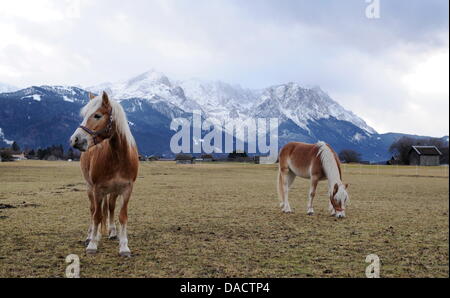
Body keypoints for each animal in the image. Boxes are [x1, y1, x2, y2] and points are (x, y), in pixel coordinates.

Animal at [68, 91, 138, 256]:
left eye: (97, 115)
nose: (75, 139)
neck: (118, 157)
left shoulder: (127, 189)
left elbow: (122, 216)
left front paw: (124, 246)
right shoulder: (97, 190)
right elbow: (97, 216)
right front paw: (92, 244)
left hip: (113, 191)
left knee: (110, 208)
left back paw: (112, 232)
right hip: (90, 189)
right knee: (93, 210)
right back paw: (91, 235)